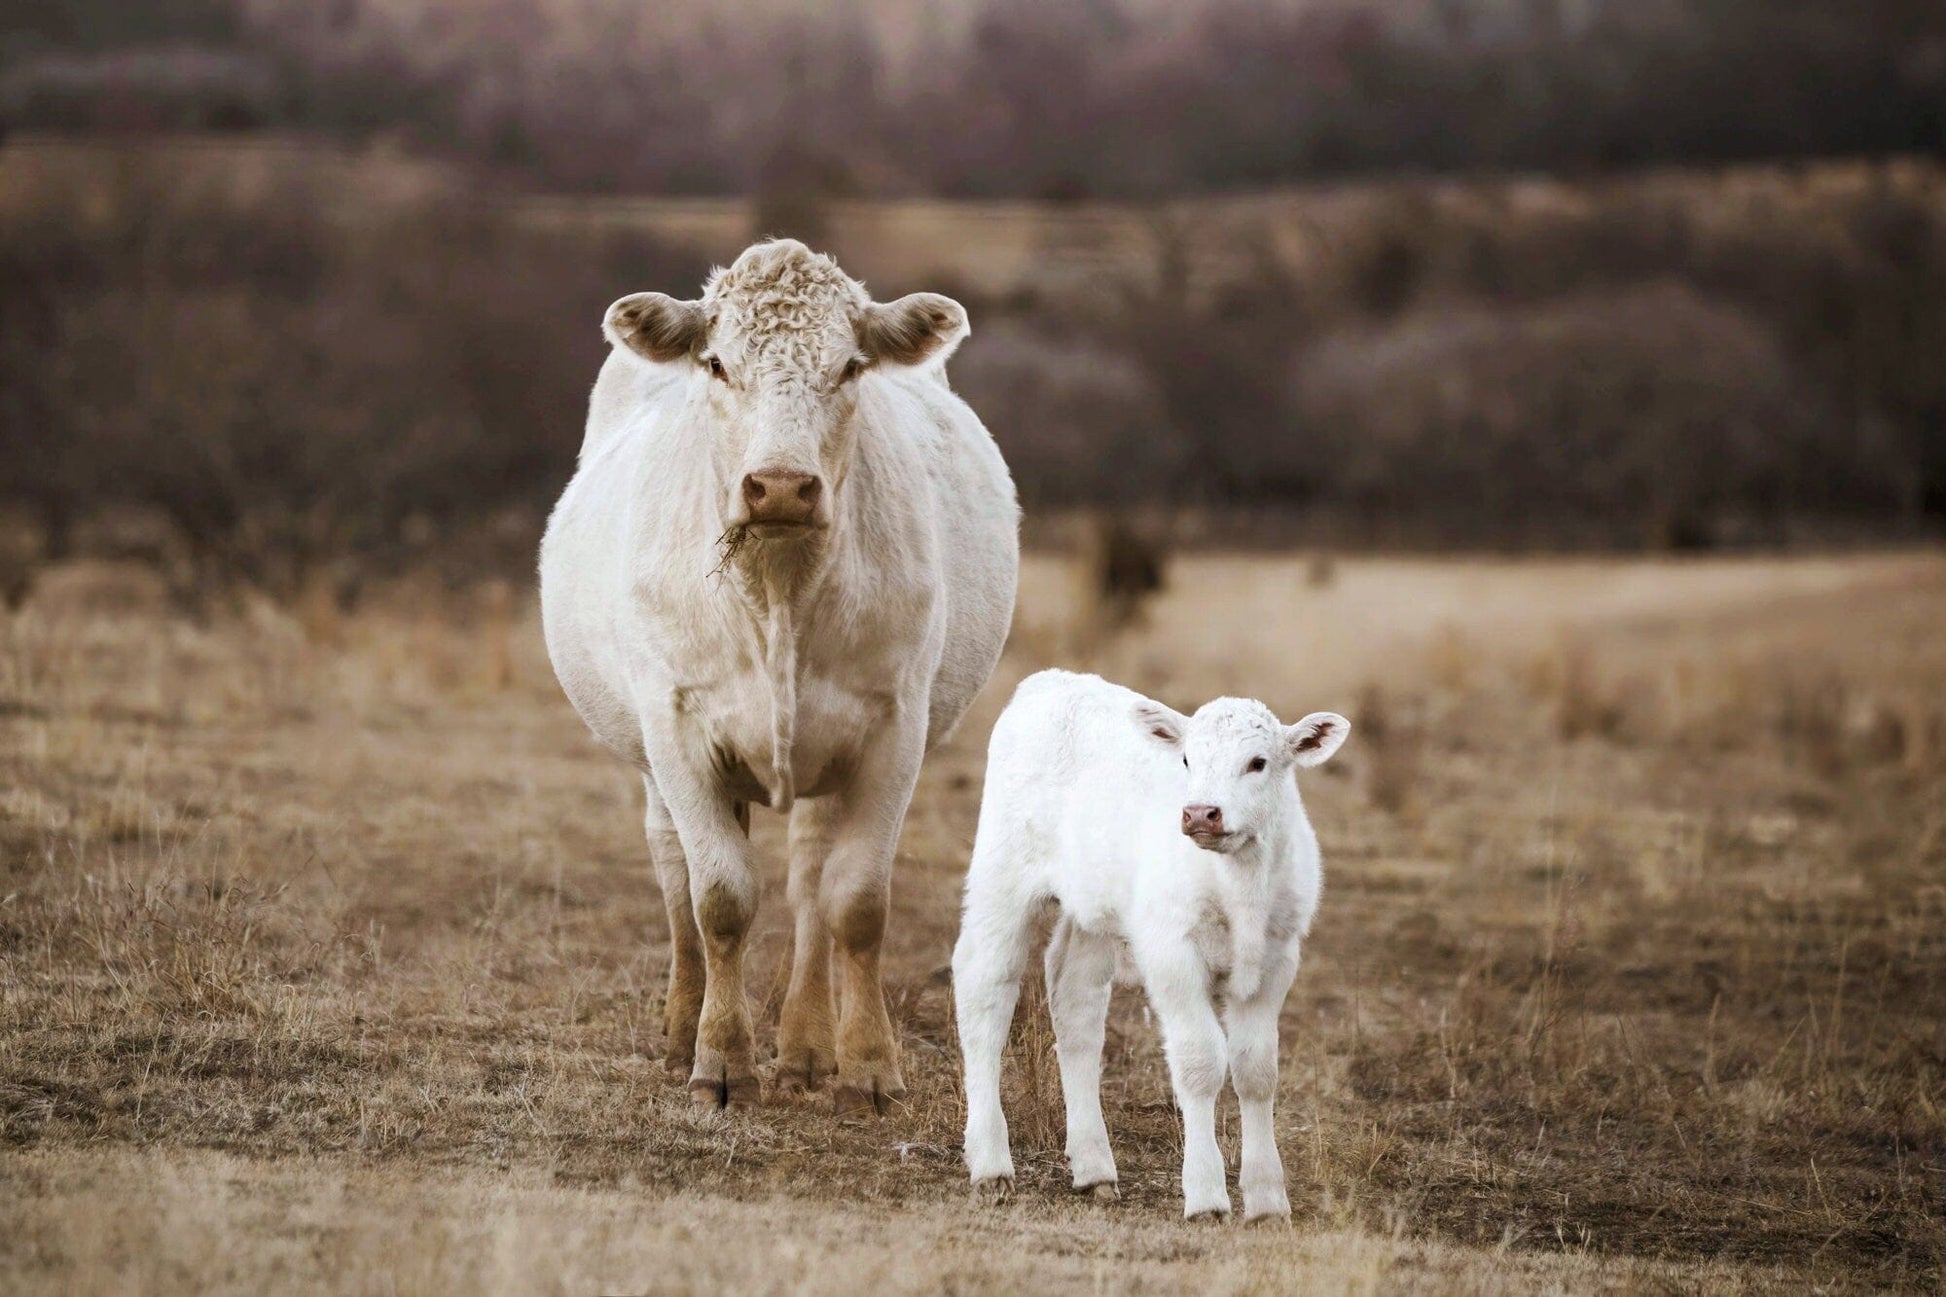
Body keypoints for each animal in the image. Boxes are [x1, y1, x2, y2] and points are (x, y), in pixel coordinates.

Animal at [537, 239, 1019, 1113]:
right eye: (717, 363)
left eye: (852, 366)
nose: (783, 486)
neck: (779, 589)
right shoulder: (676, 725)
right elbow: (720, 897)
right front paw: (721, 1059)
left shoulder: (894, 729)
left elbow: (854, 902)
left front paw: (867, 1064)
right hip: (651, 756)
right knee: (674, 869)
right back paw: (681, 1025)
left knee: (808, 882)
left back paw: (804, 1045)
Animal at [949, 669, 1346, 1215]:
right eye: (1187, 759)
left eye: (1258, 762)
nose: (1200, 813)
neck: (1239, 887)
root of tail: (1051, 680)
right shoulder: (1171, 953)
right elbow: (1201, 1062)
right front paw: (1206, 1194)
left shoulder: (1276, 960)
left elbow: (1257, 1069)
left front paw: (1268, 1199)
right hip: (1002, 873)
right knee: (985, 990)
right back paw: (991, 1162)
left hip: (1093, 910)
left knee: (1075, 1004)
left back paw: (1094, 1168)